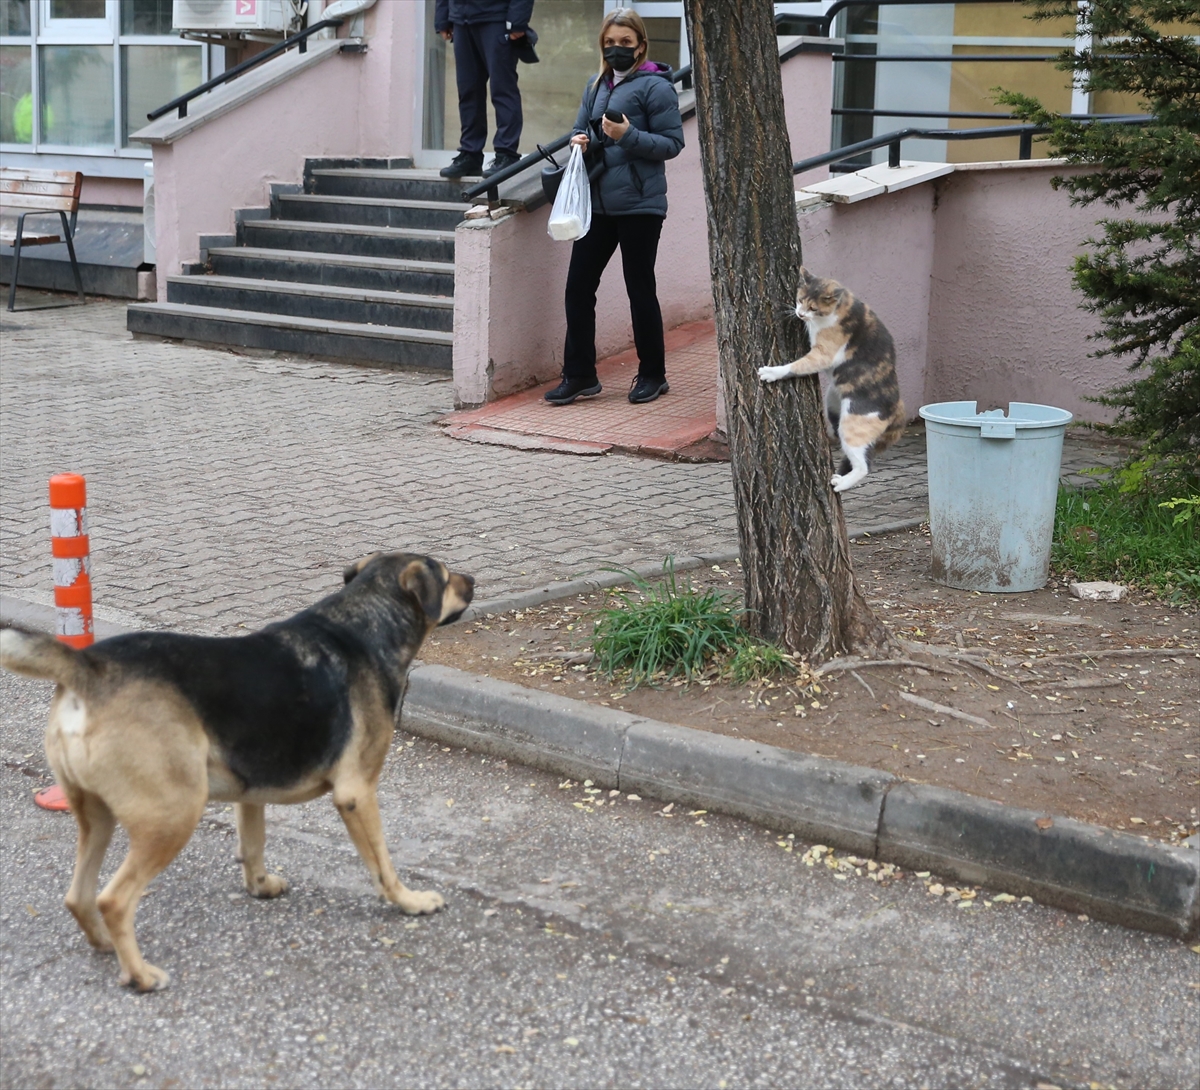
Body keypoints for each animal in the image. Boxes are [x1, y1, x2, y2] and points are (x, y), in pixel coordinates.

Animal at [0, 554, 475, 989]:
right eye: (446, 574)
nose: (473, 580)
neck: (363, 621)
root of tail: (88, 669)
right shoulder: (357, 794)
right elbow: (382, 865)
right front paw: (409, 901)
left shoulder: (251, 793)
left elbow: (253, 845)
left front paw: (260, 887)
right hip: (172, 817)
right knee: (113, 900)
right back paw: (140, 975)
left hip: (96, 818)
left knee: (78, 897)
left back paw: (104, 946)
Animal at [758, 267, 902, 494]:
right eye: (800, 300)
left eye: (813, 307)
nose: (800, 314)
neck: (841, 306)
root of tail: (898, 405)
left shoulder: (823, 354)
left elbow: (795, 366)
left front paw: (773, 372)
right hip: (834, 408)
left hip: (852, 426)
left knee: (865, 466)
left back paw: (841, 483)